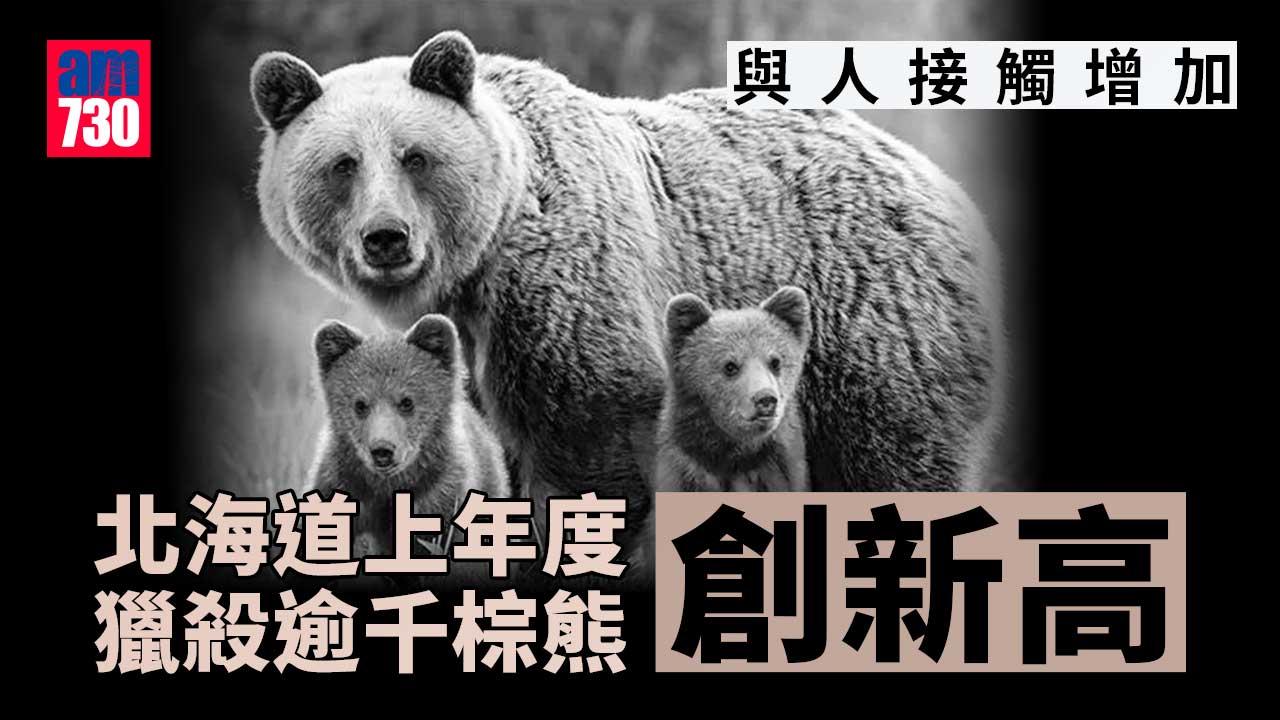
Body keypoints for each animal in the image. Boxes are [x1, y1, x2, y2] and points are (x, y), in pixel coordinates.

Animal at [309, 312, 509, 557]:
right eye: (360, 404)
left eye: (407, 401)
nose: (382, 450)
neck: (388, 488)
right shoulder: (342, 488)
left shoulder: (441, 497)